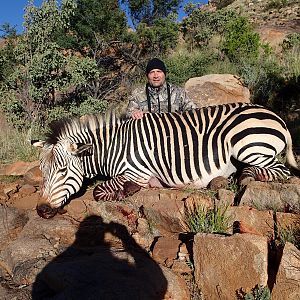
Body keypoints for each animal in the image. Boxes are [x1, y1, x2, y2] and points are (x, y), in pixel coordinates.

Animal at [31, 103, 298, 218]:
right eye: (43, 171)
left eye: (63, 171)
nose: (41, 210)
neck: (114, 146)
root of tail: (277, 117)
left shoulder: (135, 172)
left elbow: (100, 191)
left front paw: (123, 192)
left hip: (247, 146)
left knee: (281, 170)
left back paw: (246, 176)